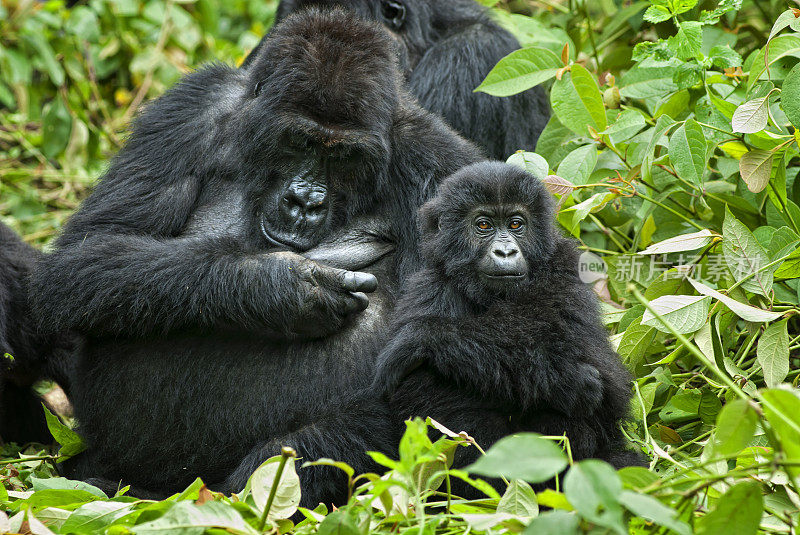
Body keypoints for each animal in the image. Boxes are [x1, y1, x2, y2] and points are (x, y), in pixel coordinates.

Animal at [29, 10, 482, 508]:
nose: (305, 202)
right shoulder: (192, 106)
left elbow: (434, 388)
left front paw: (269, 477)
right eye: (300, 142)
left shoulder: (441, 168)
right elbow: (89, 252)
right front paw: (276, 287)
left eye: (344, 155)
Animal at [372, 162, 640, 498]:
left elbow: (584, 358)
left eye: (515, 224)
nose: (505, 252)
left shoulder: (564, 266)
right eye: (483, 225)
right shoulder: (428, 287)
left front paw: (425, 337)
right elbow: (423, 391)